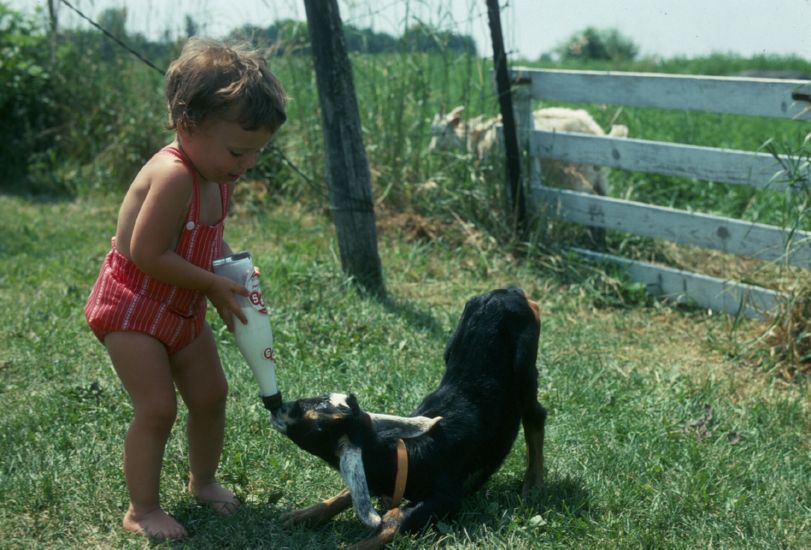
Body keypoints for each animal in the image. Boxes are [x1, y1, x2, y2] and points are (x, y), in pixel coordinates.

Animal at [272, 288, 544, 548]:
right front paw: (300, 516)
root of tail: (509, 293)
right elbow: (350, 491)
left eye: (318, 427)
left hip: (525, 371)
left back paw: (533, 486)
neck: (409, 456)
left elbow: (393, 521)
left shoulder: (447, 498)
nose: (279, 409)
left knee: (536, 415)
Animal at [428, 104, 632, 197]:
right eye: (432, 130)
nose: (430, 150)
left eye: (443, 133)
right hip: (600, 178)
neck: (477, 135)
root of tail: (597, 132)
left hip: (578, 176)